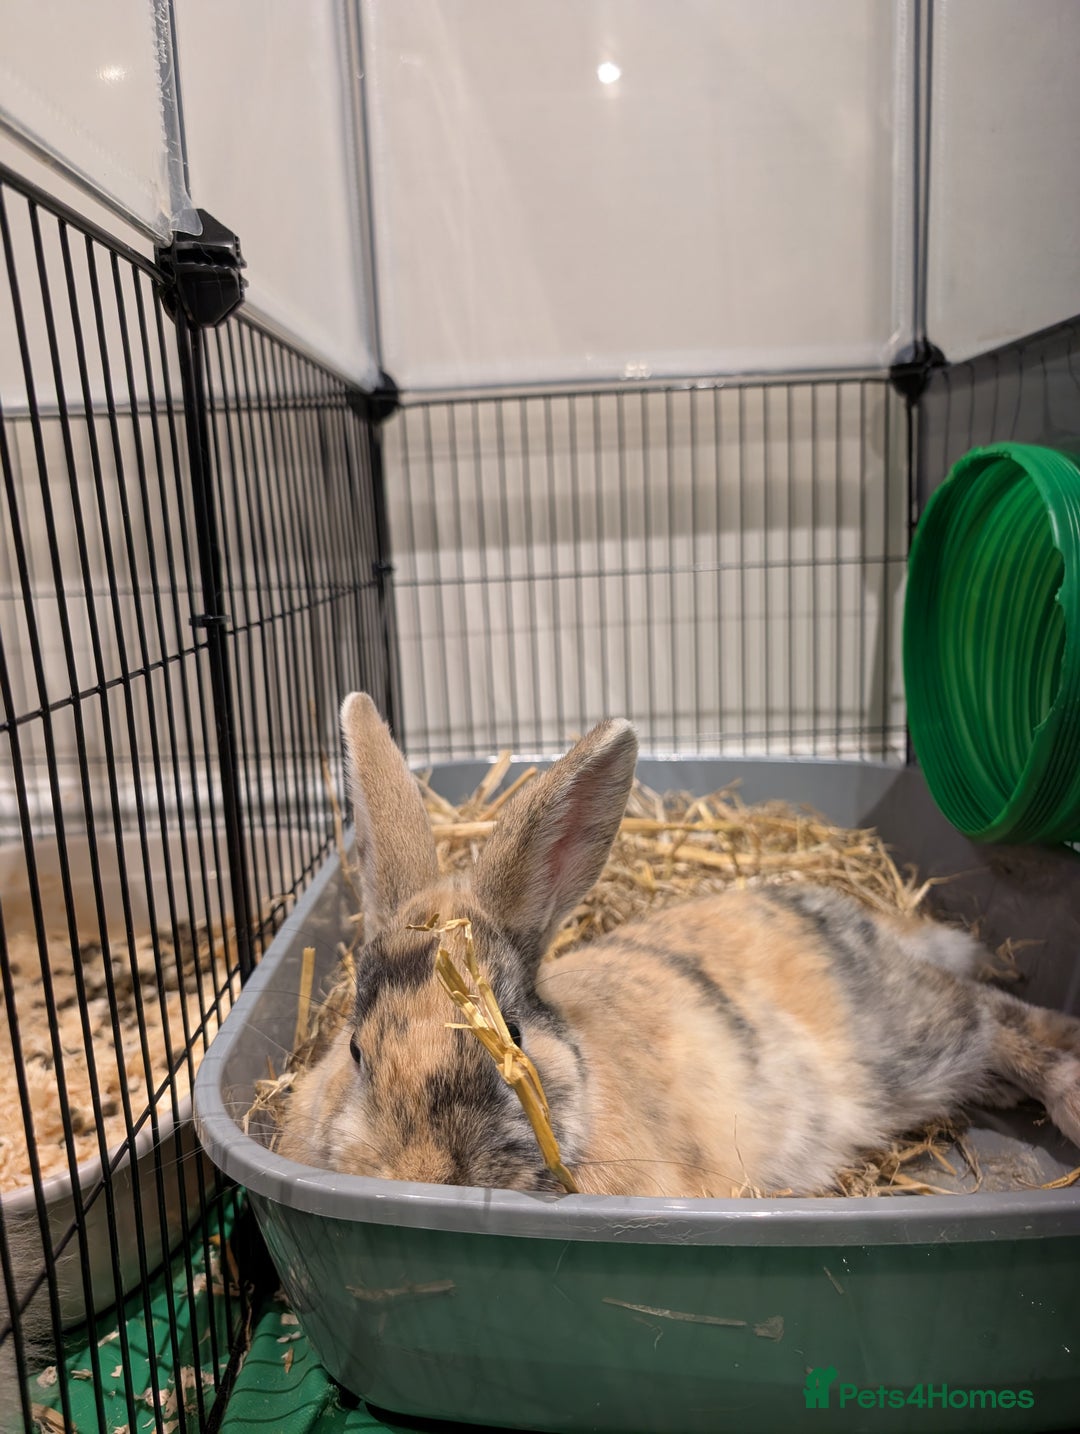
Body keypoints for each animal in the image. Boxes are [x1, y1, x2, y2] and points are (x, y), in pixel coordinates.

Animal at [276, 693, 1080, 1198]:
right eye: (356, 1052)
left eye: (513, 1037)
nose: (421, 1176)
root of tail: (864, 920)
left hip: (911, 1040)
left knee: (997, 1017)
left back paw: (1067, 1091)